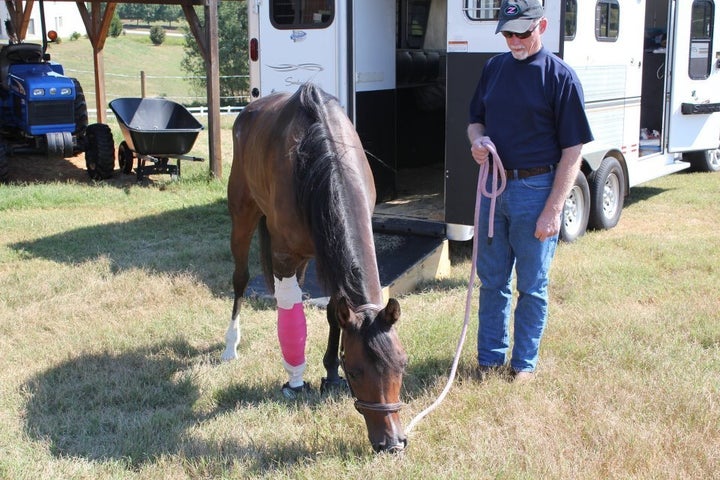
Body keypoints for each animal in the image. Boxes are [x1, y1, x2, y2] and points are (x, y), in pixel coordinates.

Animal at [222, 82, 408, 454]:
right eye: (356, 372)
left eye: (402, 364)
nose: (392, 443)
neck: (324, 157)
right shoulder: (283, 255)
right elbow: (291, 311)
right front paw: (296, 380)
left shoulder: (330, 252)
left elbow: (335, 311)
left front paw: (330, 374)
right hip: (243, 214)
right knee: (240, 279)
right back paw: (230, 344)